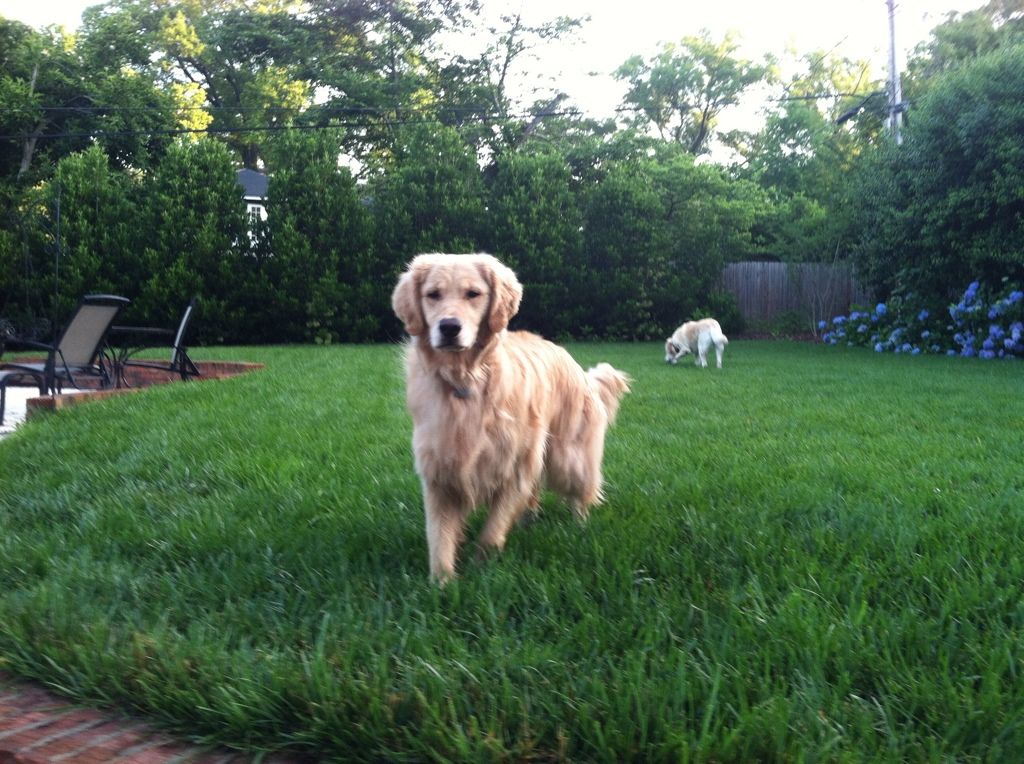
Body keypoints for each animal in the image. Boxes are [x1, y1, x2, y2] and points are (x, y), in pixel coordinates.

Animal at [391, 252, 630, 581]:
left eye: (473, 294)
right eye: (433, 294)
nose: (449, 327)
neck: (466, 380)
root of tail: (579, 369)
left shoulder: (514, 464)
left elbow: (492, 531)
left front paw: (482, 570)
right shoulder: (439, 470)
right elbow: (439, 535)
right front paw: (442, 582)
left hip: (568, 457)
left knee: (582, 492)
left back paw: (579, 525)